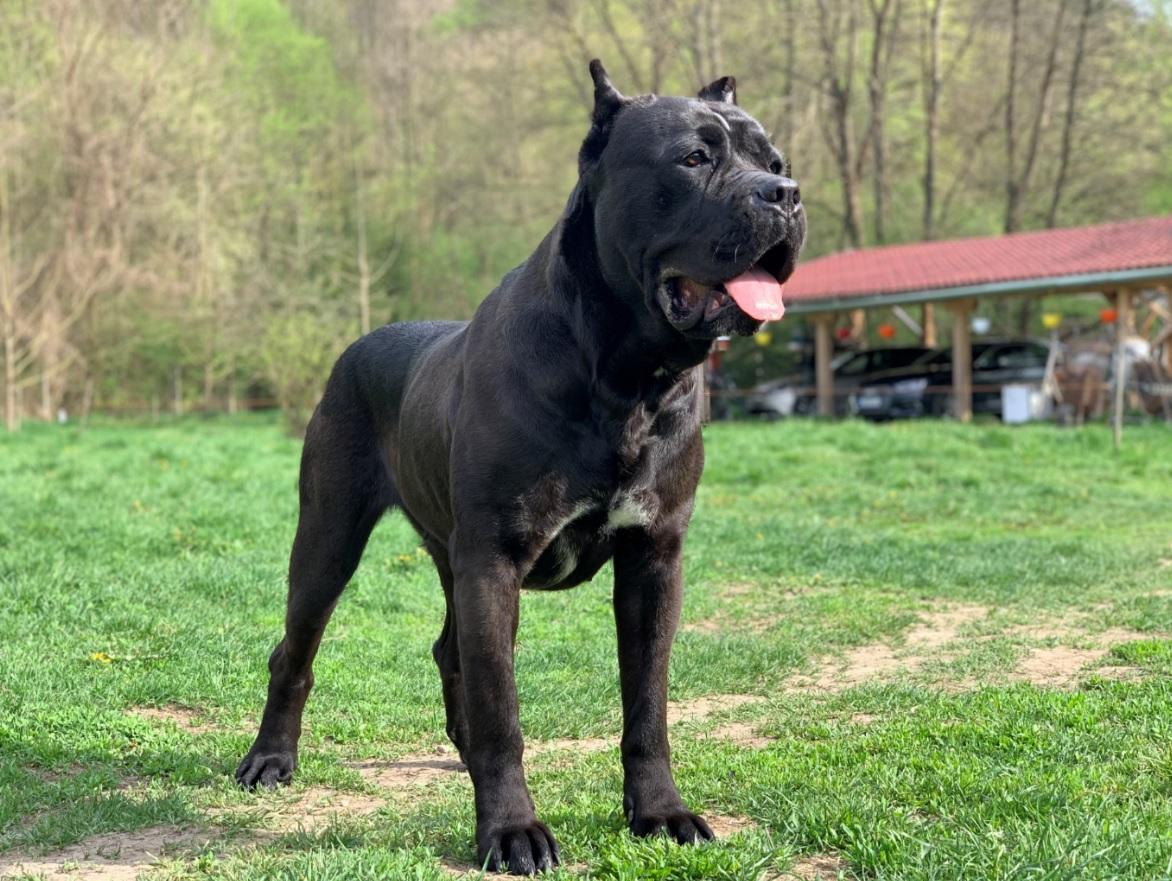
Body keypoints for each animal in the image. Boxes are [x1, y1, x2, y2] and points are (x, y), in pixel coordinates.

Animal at [237, 60, 806, 876]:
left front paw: (660, 812)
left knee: (449, 652)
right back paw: (270, 759)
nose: (784, 195)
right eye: (695, 159)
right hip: (328, 538)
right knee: (296, 650)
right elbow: (502, 707)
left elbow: (647, 703)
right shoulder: (495, 560)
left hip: (446, 556)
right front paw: (510, 831)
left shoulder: (653, 557)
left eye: (775, 161)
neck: (626, 378)